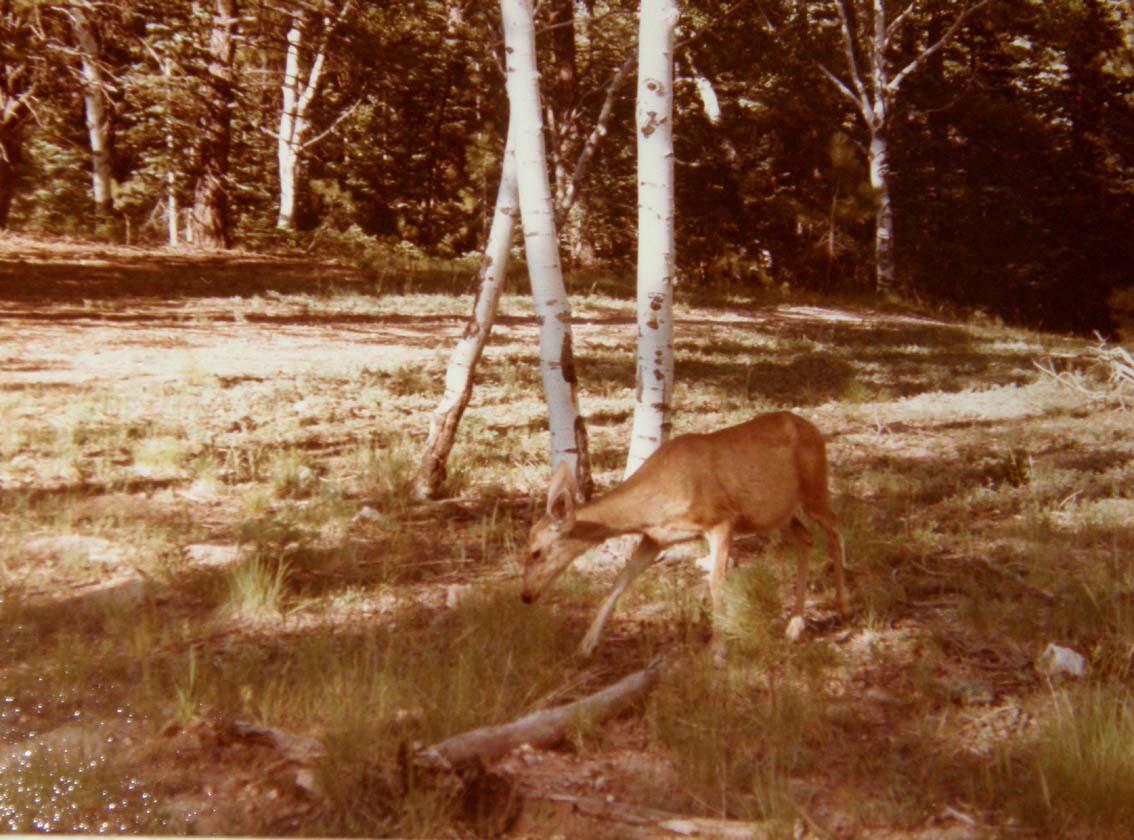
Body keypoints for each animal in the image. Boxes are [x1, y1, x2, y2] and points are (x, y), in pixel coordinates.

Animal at [519, 410, 848, 662]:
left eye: (536, 551)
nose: (525, 596)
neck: (657, 499)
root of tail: (814, 429)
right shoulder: (655, 539)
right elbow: (620, 582)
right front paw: (586, 645)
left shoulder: (720, 520)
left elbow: (716, 584)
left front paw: (718, 650)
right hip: (777, 514)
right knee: (806, 538)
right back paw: (795, 624)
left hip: (814, 487)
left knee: (834, 525)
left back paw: (842, 609)